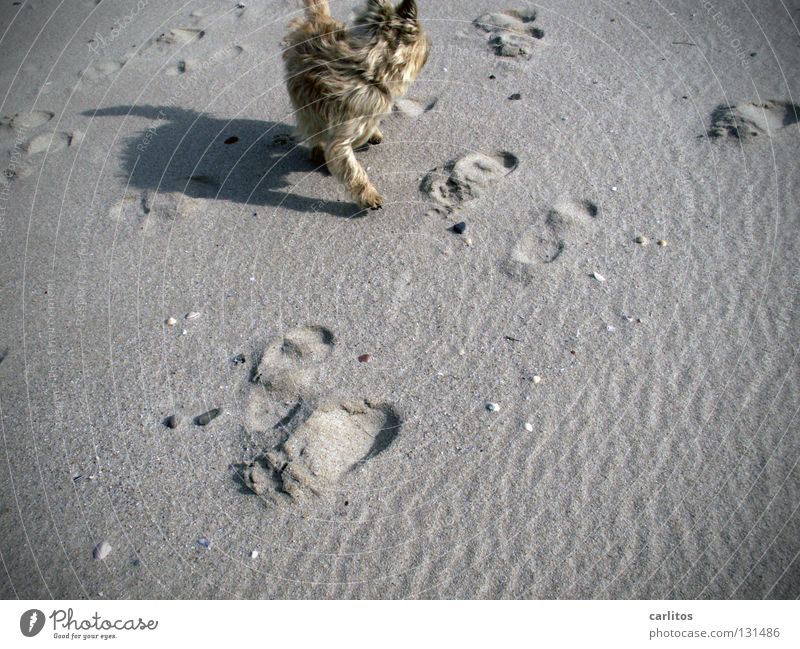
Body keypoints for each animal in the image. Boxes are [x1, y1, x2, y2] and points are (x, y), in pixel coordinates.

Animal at [282, 0, 432, 208]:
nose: (431, 48)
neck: (369, 74)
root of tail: (319, 18)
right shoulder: (343, 135)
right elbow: (352, 169)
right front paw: (369, 195)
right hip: (301, 97)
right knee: (311, 125)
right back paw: (318, 150)